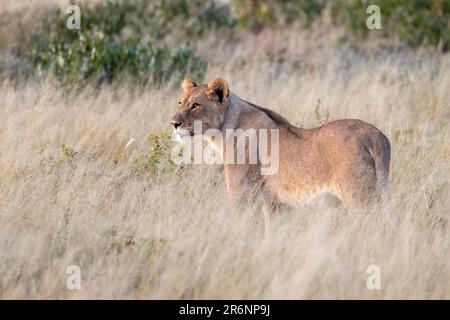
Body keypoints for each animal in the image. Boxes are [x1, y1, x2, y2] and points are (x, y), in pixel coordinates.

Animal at [171, 78, 392, 235]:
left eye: (195, 105)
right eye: (180, 102)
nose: (173, 123)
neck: (225, 128)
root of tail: (376, 136)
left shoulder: (242, 195)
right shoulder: (274, 202)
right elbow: (273, 232)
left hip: (360, 199)